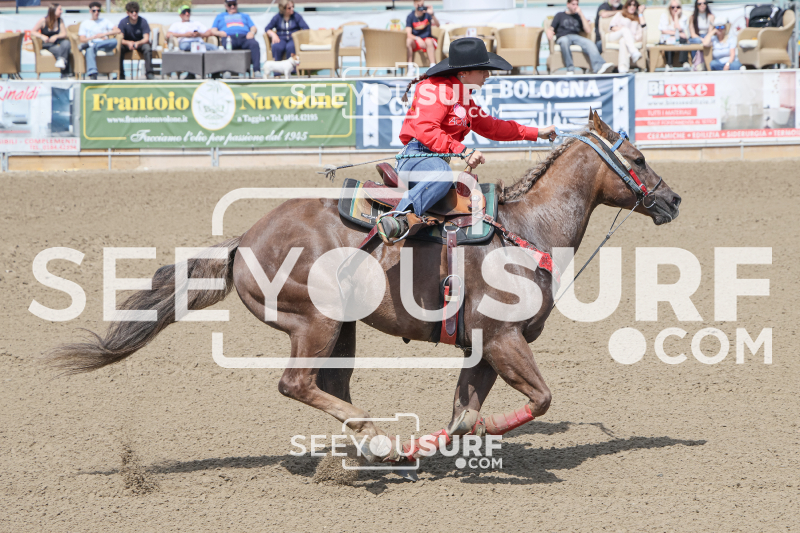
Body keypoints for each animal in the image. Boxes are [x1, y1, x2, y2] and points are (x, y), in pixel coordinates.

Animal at [50, 112, 681, 471]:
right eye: (639, 156)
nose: (672, 200)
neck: (526, 230)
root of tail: (243, 241)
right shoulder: (504, 339)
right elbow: (540, 399)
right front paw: (472, 434)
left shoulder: (482, 347)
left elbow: (463, 409)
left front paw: (456, 440)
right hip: (315, 322)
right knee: (297, 383)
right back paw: (379, 441)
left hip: (343, 331)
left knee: (330, 385)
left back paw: (378, 446)